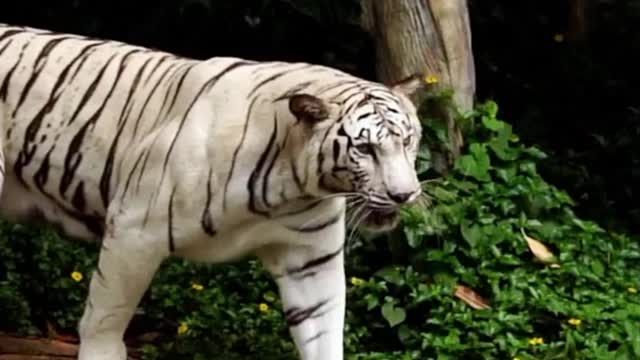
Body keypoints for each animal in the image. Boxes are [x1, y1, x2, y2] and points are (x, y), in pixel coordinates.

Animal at [0, 24, 424, 360]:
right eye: (365, 149)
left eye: (408, 140)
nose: (404, 195)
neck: (292, 189)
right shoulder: (134, 231)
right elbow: (105, 318)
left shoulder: (310, 258)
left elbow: (323, 332)